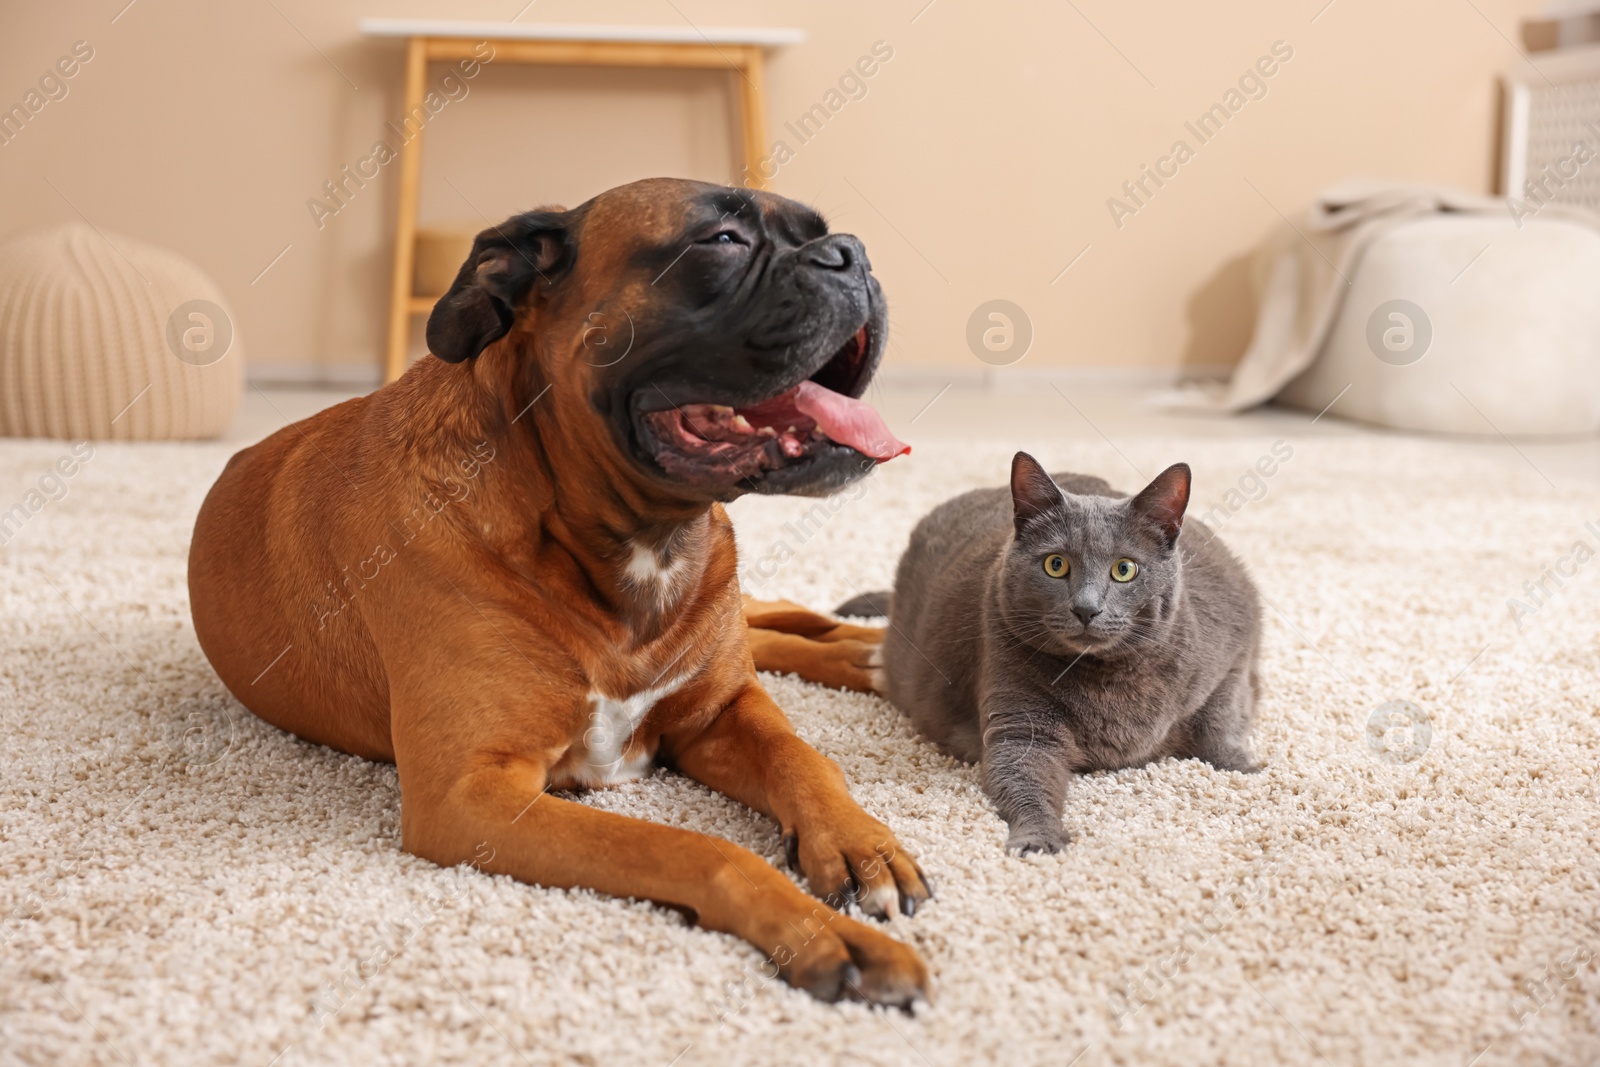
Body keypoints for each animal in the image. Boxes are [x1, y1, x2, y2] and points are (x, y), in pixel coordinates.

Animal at [187, 179, 934, 1004]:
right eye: (722, 240)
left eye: (820, 231)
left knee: (779, 620)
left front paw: (861, 839)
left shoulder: (721, 712)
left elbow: (803, 757)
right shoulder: (473, 796)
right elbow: (695, 848)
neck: (639, 545)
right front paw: (823, 931)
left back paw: (874, 650)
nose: (851, 254)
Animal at [838, 454, 1260, 857]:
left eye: (1124, 569)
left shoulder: (1233, 652)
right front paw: (1038, 838)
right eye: (1056, 564)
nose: (1087, 608)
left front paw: (1249, 769)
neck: (1109, 677)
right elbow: (1023, 777)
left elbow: (1219, 722)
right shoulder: (1021, 722)